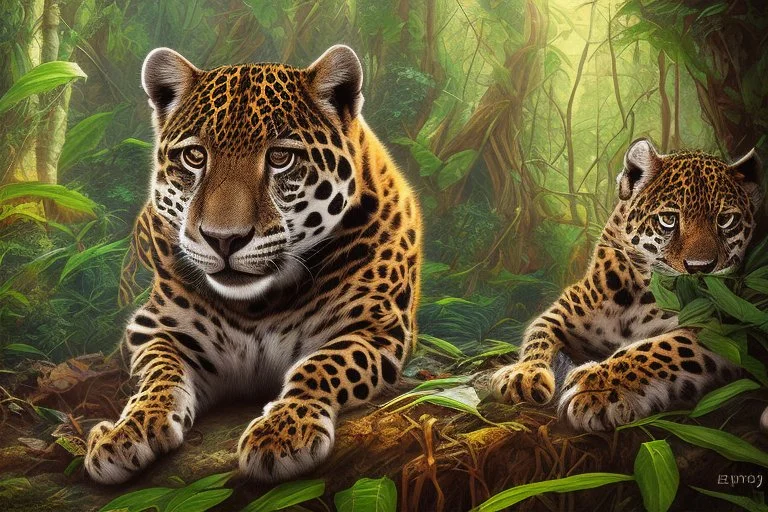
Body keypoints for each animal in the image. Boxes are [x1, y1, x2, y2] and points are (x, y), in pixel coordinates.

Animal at [84, 45, 422, 484]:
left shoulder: (375, 328)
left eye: (280, 157)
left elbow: (321, 364)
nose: (223, 239)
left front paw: (283, 431)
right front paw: (127, 430)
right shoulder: (156, 327)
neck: (259, 305)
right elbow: (160, 375)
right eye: (195, 156)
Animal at [491, 138, 763, 432]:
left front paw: (595, 388)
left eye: (726, 220)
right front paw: (523, 374)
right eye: (669, 219)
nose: (700, 268)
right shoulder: (563, 310)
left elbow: (659, 347)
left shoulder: (724, 329)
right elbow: (537, 335)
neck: (637, 293)